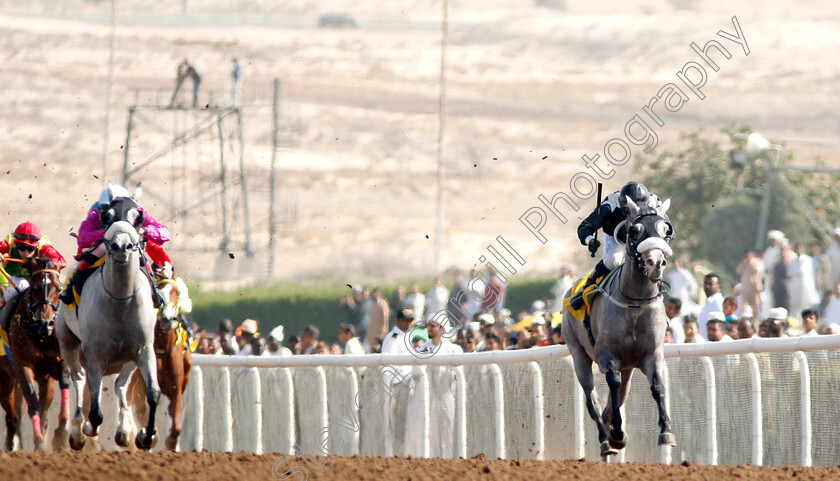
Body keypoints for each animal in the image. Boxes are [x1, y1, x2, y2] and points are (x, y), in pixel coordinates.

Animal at [57, 220, 161, 450]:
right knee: (79, 378)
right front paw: (88, 428)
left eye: (136, 220)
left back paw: (124, 430)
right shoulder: (94, 355)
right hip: (67, 342)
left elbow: (153, 393)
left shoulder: (144, 350)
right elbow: (95, 409)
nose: (121, 247)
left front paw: (147, 436)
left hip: (129, 359)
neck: (121, 302)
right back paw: (77, 430)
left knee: (120, 384)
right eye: (108, 221)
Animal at [128, 270, 192, 450]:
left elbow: (176, 428)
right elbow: (143, 416)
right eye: (157, 292)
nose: (167, 318)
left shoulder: (176, 389)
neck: (163, 349)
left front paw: (171, 444)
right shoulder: (142, 388)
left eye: (176, 292)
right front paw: (145, 437)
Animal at [560, 196, 680, 458]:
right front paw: (616, 433)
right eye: (633, 231)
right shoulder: (607, 354)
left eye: (666, 230)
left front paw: (666, 432)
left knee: (621, 393)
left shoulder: (651, 353)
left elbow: (657, 386)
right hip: (578, 352)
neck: (635, 303)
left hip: (629, 364)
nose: (655, 262)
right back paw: (605, 439)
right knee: (592, 398)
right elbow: (612, 385)